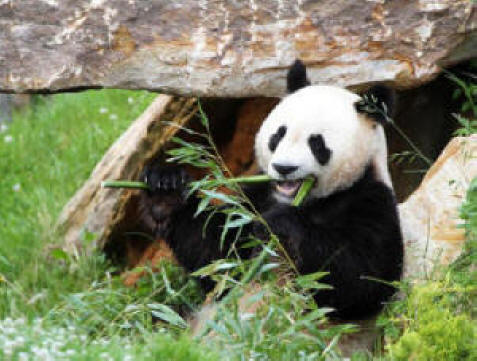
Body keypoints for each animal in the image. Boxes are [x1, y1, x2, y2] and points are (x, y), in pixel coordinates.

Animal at [140, 60, 402, 320]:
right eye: (278, 135)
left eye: (317, 143)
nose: (284, 168)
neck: (306, 200)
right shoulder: (257, 197)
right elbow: (218, 255)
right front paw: (165, 190)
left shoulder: (370, 200)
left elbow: (363, 280)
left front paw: (281, 224)